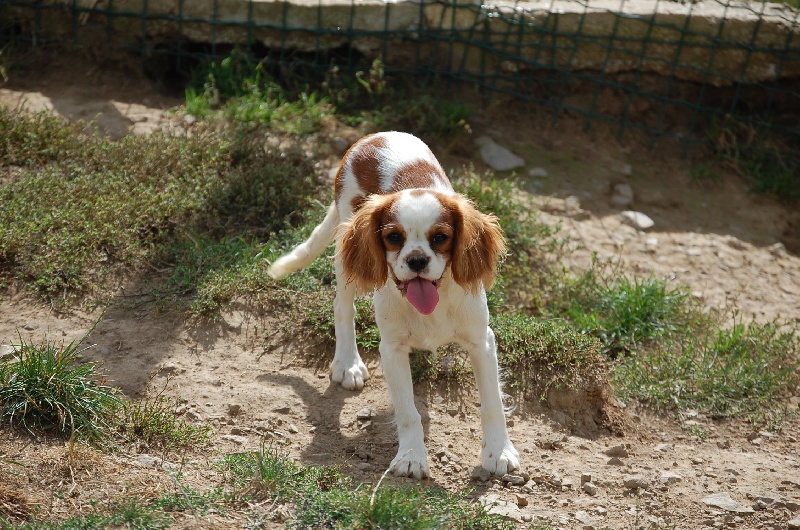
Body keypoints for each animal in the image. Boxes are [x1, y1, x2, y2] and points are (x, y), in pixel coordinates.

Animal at [268, 130, 520, 476]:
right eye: (394, 238)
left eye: (440, 238)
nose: (416, 260)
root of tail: (372, 137)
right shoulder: (392, 349)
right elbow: (407, 412)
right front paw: (412, 457)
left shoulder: (482, 342)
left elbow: (492, 404)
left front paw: (498, 452)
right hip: (347, 253)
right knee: (342, 307)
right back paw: (347, 362)